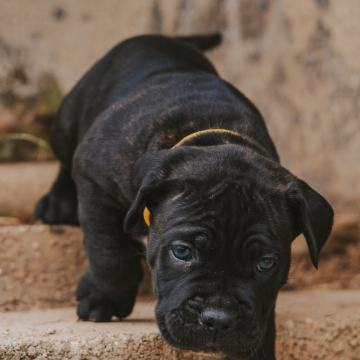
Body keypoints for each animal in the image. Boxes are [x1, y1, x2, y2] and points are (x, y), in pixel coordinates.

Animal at [35, 34, 334, 360]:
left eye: (266, 263)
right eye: (181, 252)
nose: (218, 318)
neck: (212, 136)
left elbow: (264, 313)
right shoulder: (96, 183)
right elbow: (110, 256)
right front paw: (103, 301)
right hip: (66, 123)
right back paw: (57, 205)